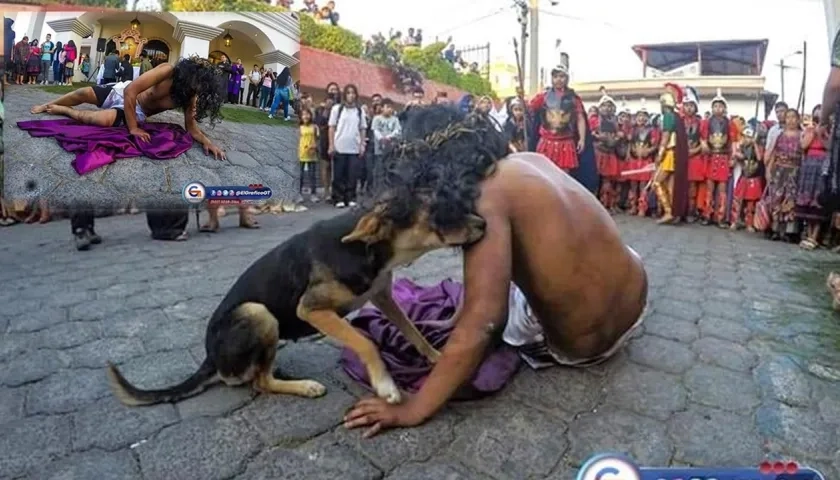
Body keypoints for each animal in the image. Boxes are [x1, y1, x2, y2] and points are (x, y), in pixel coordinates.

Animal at [106, 201, 486, 406]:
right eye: (441, 212)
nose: (484, 222)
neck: (366, 249)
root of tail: (210, 358)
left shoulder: (382, 295)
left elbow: (412, 330)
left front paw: (436, 356)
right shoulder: (312, 309)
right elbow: (364, 341)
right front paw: (385, 385)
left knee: (259, 373)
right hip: (259, 314)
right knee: (258, 382)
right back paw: (304, 386)